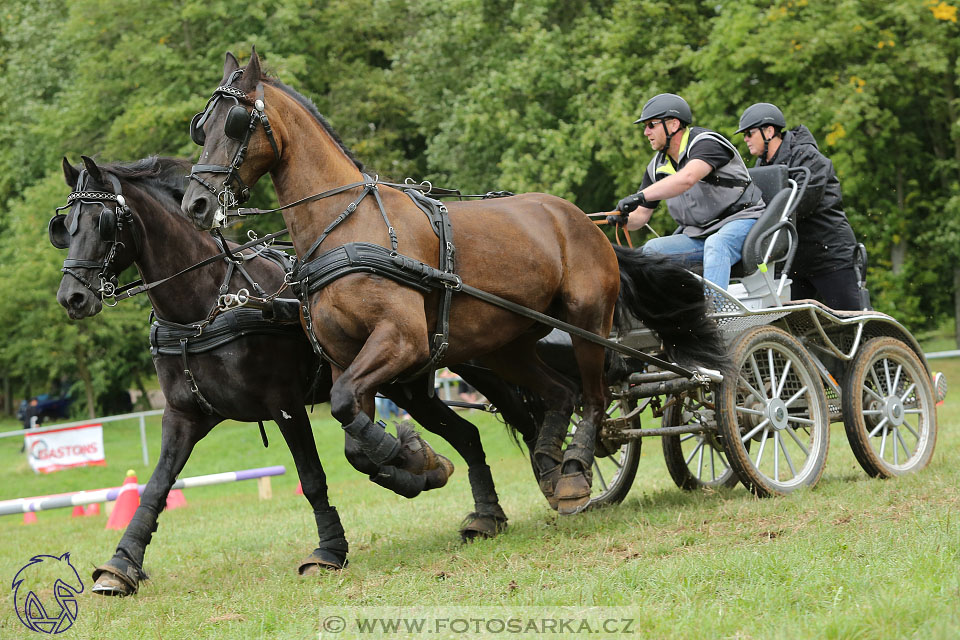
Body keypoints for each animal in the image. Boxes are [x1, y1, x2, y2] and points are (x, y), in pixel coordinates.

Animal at [54, 156, 548, 596]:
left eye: (102, 222)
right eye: (64, 228)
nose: (71, 297)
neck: (208, 306)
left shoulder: (285, 405)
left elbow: (311, 476)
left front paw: (329, 550)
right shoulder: (183, 415)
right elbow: (155, 487)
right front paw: (121, 565)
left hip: (474, 361)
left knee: (525, 416)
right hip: (409, 389)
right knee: (468, 436)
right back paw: (479, 509)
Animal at [180, 51, 724, 520]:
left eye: (234, 122)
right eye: (200, 127)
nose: (195, 204)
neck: (347, 228)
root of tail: (585, 223)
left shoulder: (401, 340)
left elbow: (345, 409)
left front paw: (412, 455)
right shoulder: (342, 359)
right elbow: (352, 433)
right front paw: (414, 462)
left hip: (587, 321)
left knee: (592, 397)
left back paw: (572, 472)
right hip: (505, 345)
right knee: (560, 394)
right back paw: (550, 464)